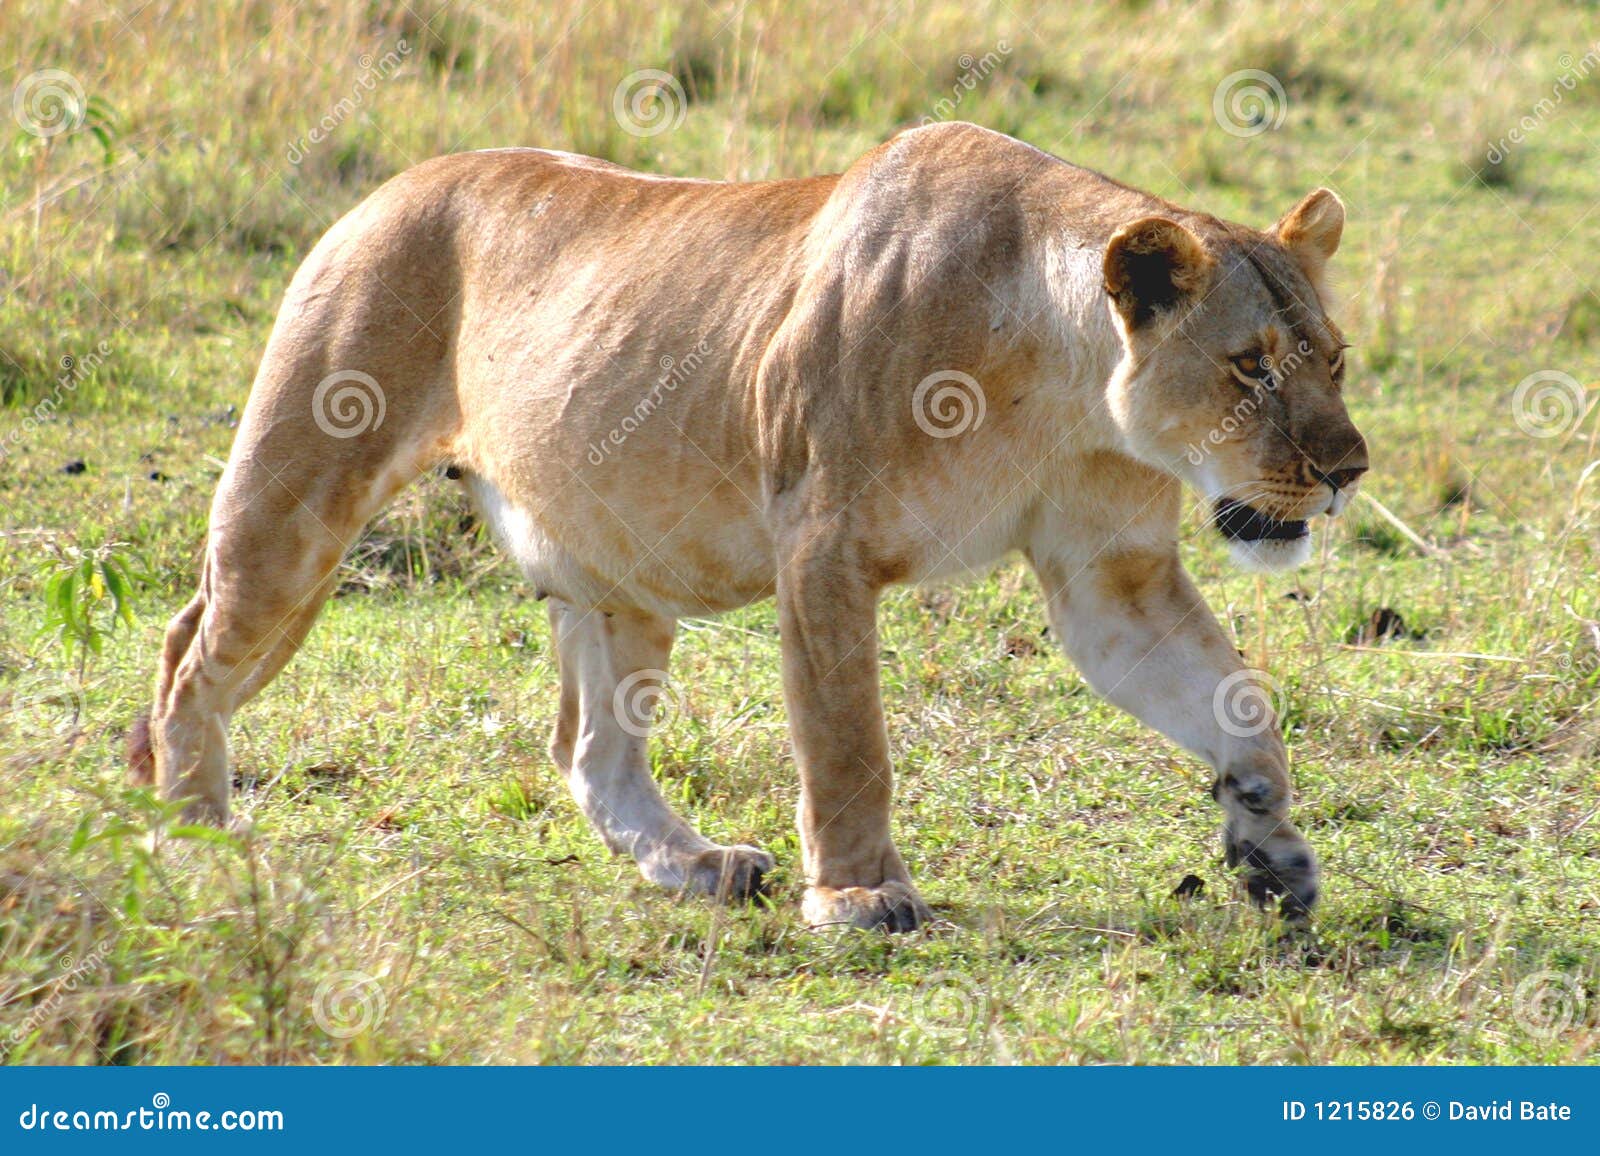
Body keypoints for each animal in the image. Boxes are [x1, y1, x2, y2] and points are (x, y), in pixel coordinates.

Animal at [132, 122, 1367, 930]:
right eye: (1250, 367)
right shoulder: (822, 544)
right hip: (298, 495)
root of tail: (393, 184)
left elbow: (1233, 696)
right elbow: (848, 743)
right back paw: (194, 826)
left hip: (614, 560)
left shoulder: (1109, 573)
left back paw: (699, 868)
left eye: (1335, 360)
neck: (1064, 380)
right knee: (191, 655)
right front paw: (863, 894)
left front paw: (1269, 845)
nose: (1347, 471)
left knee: (588, 751)